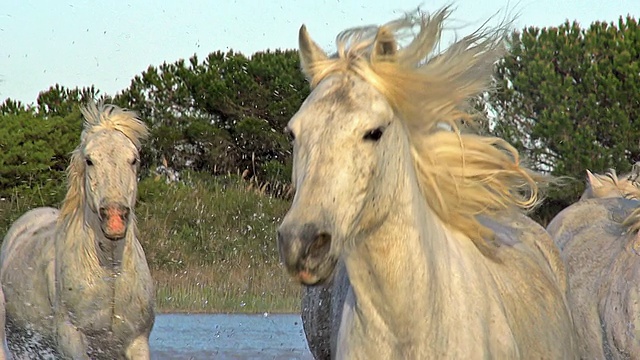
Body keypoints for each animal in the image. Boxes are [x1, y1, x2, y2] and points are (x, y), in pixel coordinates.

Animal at [1, 102, 157, 358]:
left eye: (134, 159)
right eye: (90, 160)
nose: (115, 218)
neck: (110, 275)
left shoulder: (137, 342)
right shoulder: (71, 338)